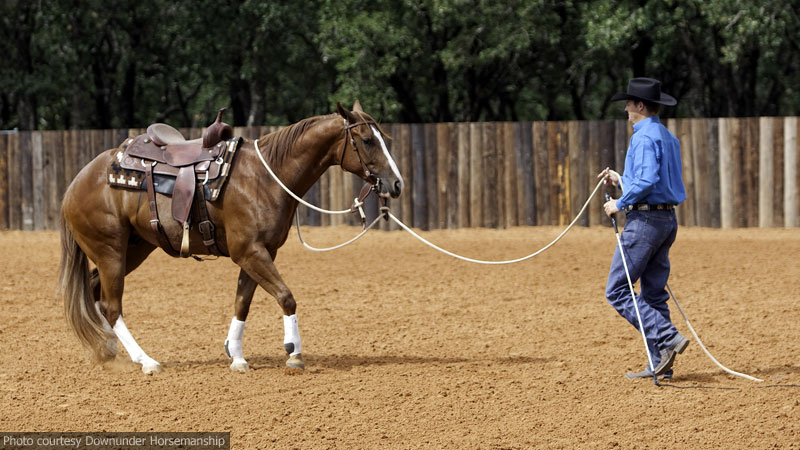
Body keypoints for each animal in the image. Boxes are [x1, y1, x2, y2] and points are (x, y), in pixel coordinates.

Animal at [58, 102, 404, 374]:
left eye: (385, 139)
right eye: (367, 140)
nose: (397, 183)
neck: (265, 177)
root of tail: (75, 183)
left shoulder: (261, 252)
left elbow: (242, 302)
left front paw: (236, 355)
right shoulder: (249, 251)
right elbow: (286, 296)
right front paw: (294, 352)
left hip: (133, 249)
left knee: (95, 292)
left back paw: (107, 350)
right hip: (110, 251)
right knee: (111, 305)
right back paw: (146, 361)